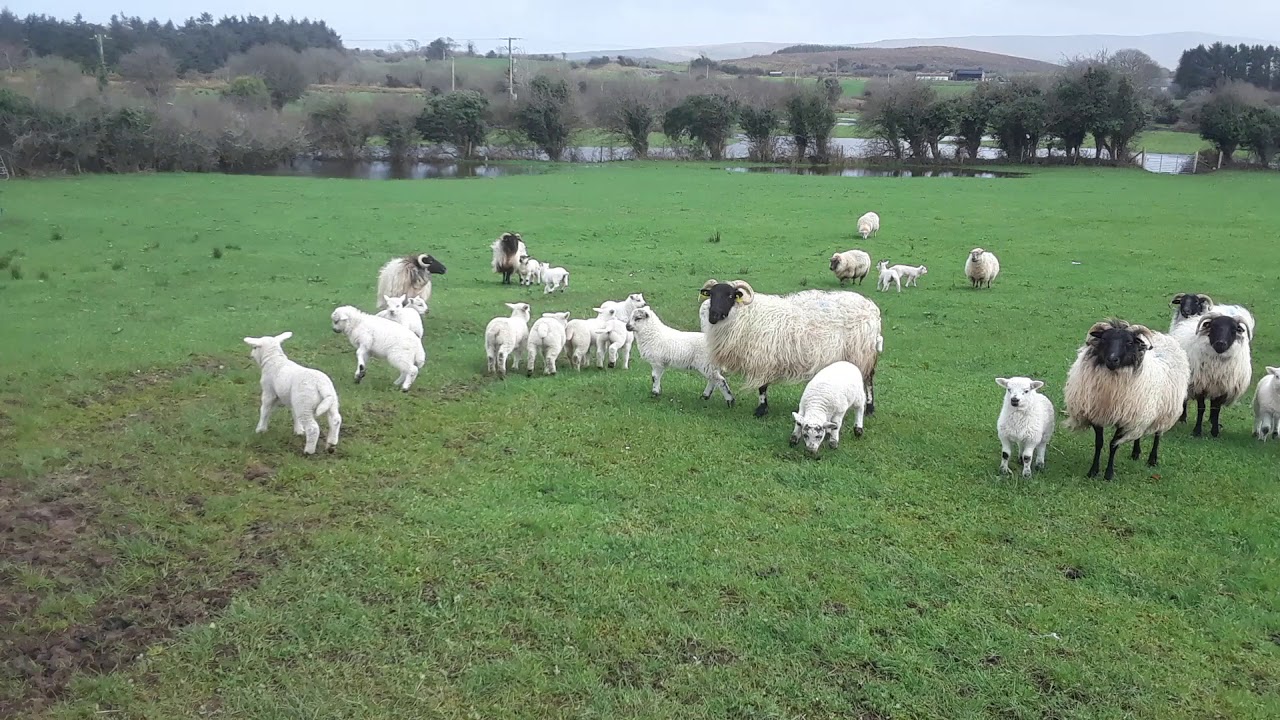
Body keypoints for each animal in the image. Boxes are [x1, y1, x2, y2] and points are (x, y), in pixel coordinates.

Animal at [699, 279, 882, 418]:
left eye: (730, 295)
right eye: (712, 295)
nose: (713, 316)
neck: (746, 314)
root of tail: (873, 309)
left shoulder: (763, 358)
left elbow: (762, 387)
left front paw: (761, 410)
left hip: (861, 353)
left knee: (868, 379)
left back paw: (869, 407)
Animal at [1063, 319, 1190, 481]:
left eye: (1129, 342)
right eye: (1104, 339)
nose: (1112, 359)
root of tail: (1164, 337)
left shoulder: (1124, 418)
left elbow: (1113, 444)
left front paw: (1108, 474)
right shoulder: (1097, 413)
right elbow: (1099, 443)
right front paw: (1093, 471)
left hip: (1165, 410)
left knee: (1157, 434)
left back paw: (1152, 459)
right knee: (1138, 433)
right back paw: (1135, 453)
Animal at [1171, 308, 1255, 437]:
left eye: (1234, 329)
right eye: (1213, 326)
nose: (1220, 343)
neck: (1217, 367)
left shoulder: (1222, 388)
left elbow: (1216, 409)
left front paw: (1215, 431)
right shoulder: (1199, 386)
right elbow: (1201, 408)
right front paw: (1197, 431)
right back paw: (1182, 418)